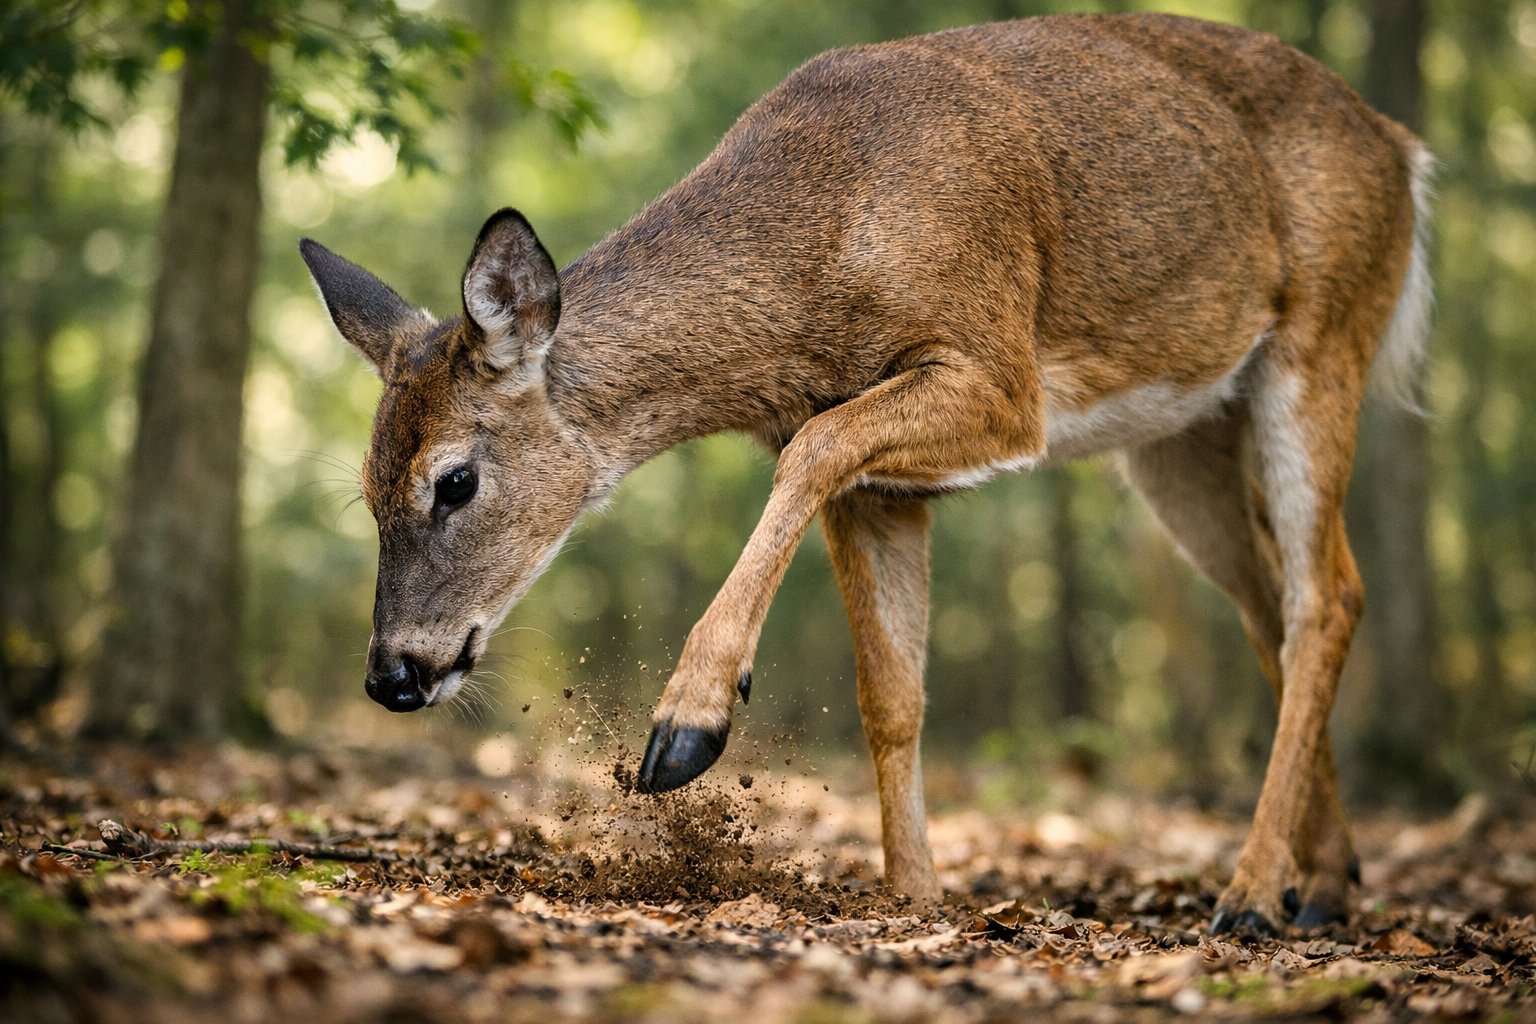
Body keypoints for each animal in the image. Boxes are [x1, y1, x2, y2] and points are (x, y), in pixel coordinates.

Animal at [300, 13, 1432, 935]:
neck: (821, 255)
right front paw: (916, 896)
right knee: (1267, 607)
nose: (392, 674)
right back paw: (1326, 885)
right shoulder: (880, 481)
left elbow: (818, 451)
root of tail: (1406, 150)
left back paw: (1252, 896)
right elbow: (891, 688)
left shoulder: (1000, 374)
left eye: (454, 480)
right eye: (366, 489)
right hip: (1180, 430)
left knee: (1328, 593)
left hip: (1321, 338)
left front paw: (688, 726)